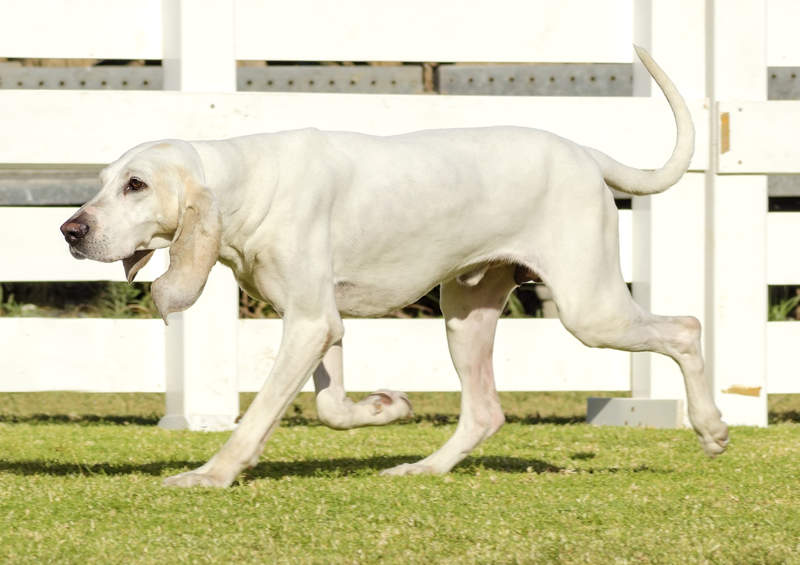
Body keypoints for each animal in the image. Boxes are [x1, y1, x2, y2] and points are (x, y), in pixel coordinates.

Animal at [59, 48, 728, 486]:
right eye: (102, 181)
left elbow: (259, 415)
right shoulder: (319, 322)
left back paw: (712, 427)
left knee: (686, 328)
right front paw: (386, 409)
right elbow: (331, 408)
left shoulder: (309, 324)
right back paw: (425, 467)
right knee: (485, 412)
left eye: (137, 185)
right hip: (466, 315)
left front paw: (212, 474)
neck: (248, 182)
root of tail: (587, 153)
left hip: (590, 311)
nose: (70, 231)